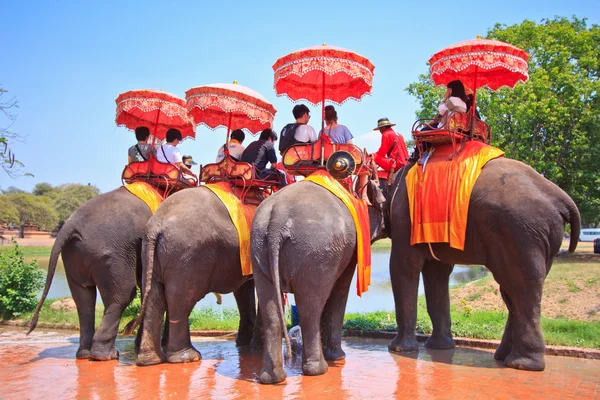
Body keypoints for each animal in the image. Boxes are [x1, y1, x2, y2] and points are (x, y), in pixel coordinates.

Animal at [29, 187, 154, 360]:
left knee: (83, 299)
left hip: (73, 255)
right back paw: (105, 356)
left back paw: (85, 354)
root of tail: (68, 227)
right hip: (113, 254)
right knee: (122, 296)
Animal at [136, 186, 260, 368]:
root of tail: (155, 225)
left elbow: (244, 289)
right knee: (181, 300)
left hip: (152, 254)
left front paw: (244, 344)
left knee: (154, 297)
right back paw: (188, 357)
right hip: (188, 254)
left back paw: (149, 360)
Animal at [251, 179, 386, 384]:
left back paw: (272, 378)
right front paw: (338, 357)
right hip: (316, 251)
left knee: (271, 311)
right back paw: (318, 369)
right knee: (310, 308)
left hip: (258, 247)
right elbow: (340, 290)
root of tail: (277, 222)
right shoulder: (351, 249)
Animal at [386, 157, 580, 372]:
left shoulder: (404, 216)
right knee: (513, 291)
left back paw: (521, 365)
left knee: (521, 288)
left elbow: (403, 267)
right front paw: (439, 347)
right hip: (541, 240)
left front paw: (398, 349)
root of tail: (560, 197)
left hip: (521, 233)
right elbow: (436, 272)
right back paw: (503, 357)